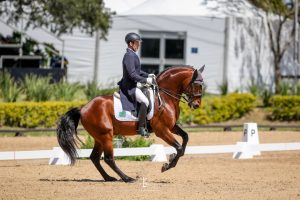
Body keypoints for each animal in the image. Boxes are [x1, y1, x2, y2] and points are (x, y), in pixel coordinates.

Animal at [56, 65, 204, 183]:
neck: (165, 97)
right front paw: (166, 166)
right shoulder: (161, 130)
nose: (196, 105)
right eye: (197, 85)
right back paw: (127, 178)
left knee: (95, 158)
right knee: (108, 159)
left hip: (100, 137)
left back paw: (109, 178)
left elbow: (185, 138)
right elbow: (179, 148)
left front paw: (170, 161)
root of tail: (83, 108)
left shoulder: (171, 127)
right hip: (106, 136)